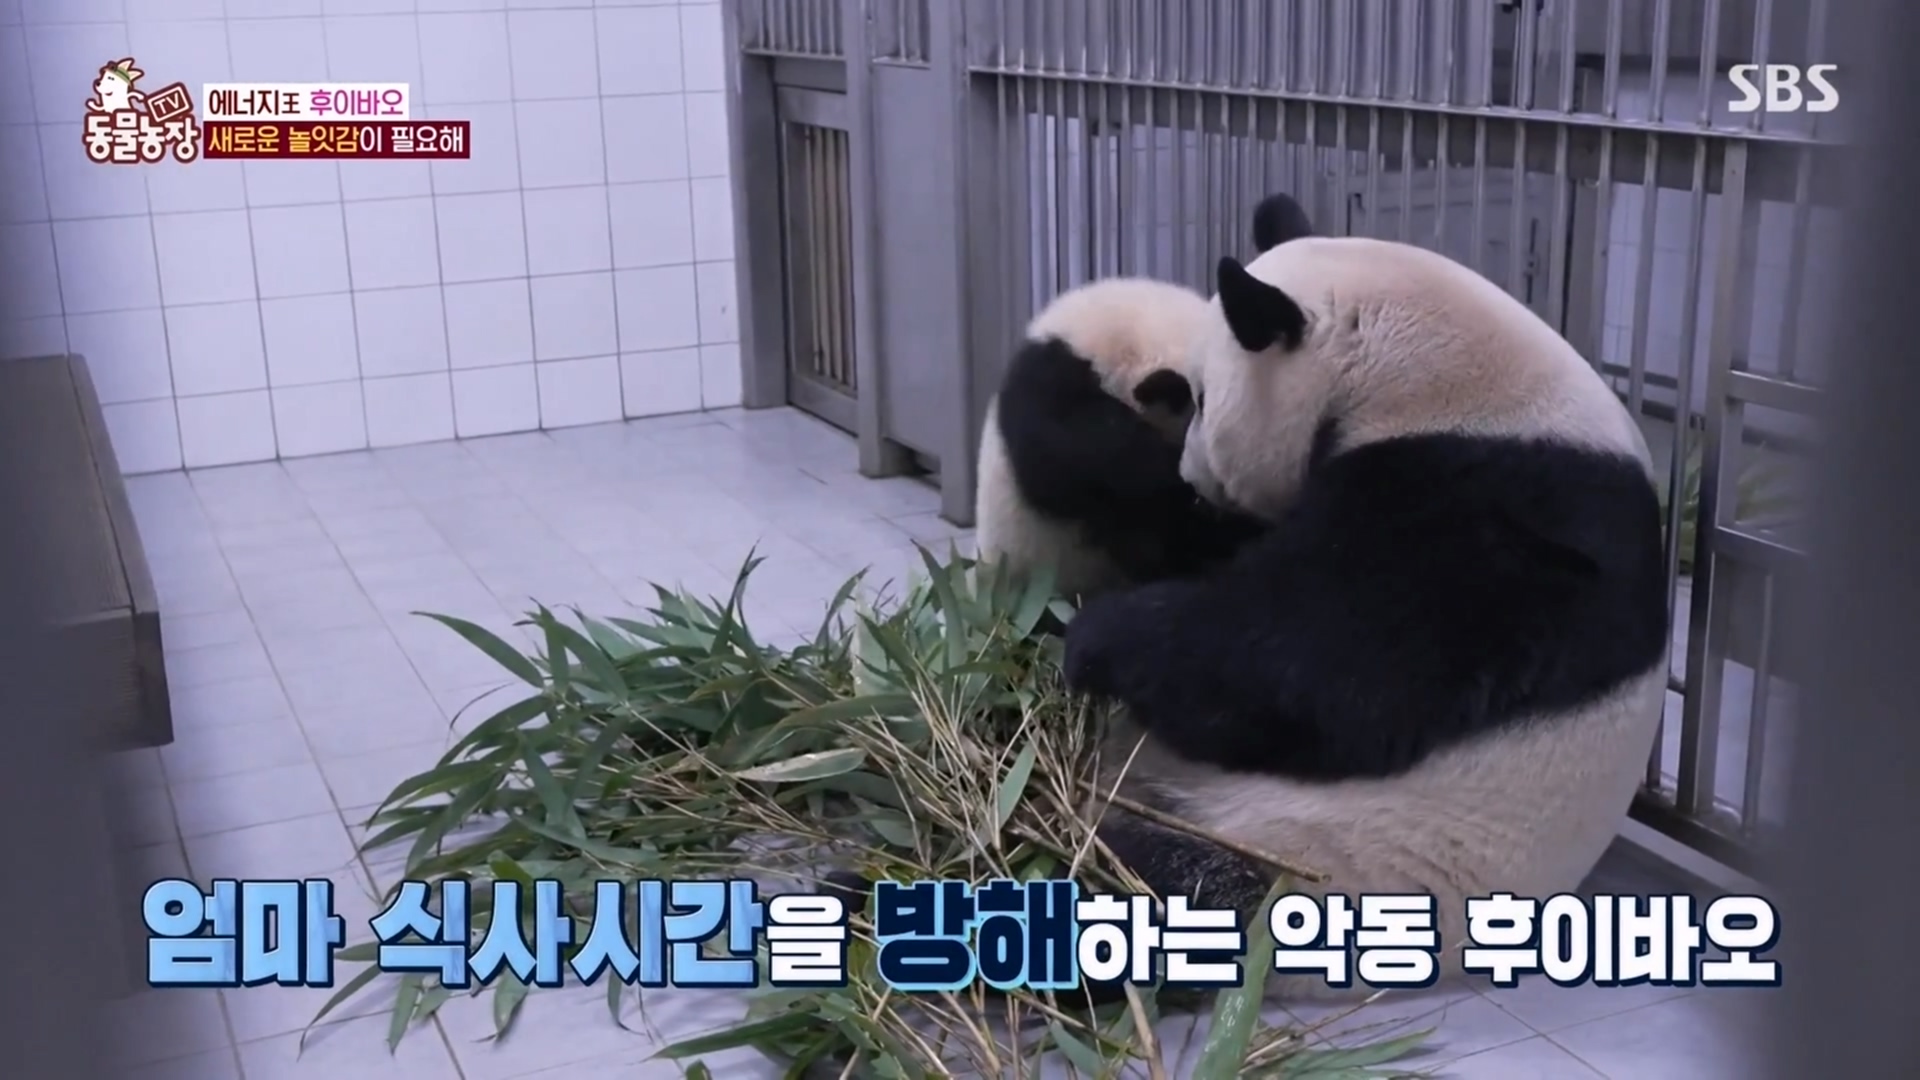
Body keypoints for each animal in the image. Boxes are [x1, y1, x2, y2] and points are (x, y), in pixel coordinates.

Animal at [1061, 221, 1672, 1003]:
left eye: (1201, 398)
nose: (1189, 477)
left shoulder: (1486, 510)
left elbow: (1317, 669)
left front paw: (1096, 637)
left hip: (1304, 865)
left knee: (1147, 882)